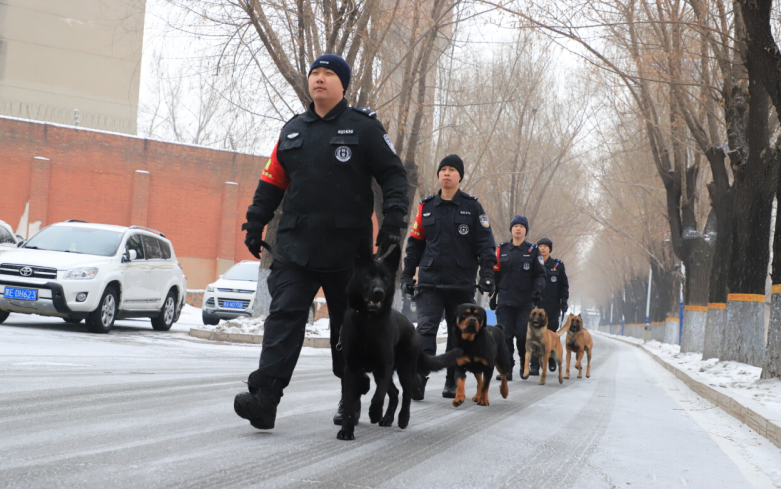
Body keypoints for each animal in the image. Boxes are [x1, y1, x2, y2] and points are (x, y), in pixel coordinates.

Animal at [336, 244, 462, 440]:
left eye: (385, 278)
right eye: (368, 276)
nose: (379, 292)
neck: (368, 321)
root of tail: (412, 328)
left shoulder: (385, 365)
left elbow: (378, 395)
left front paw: (374, 412)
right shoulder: (352, 368)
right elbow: (350, 399)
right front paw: (347, 430)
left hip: (404, 369)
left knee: (406, 393)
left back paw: (402, 418)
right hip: (383, 372)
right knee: (394, 393)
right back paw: (388, 418)